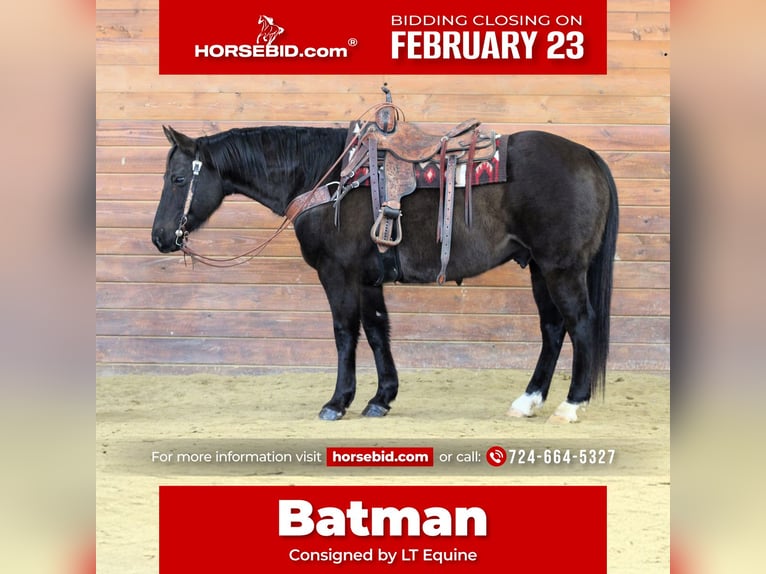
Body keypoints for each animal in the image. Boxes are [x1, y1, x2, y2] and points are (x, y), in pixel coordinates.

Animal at [152, 119, 618, 423]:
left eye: (178, 179)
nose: (160, 237)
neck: (329, 177)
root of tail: (587, 155)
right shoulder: (367, 279)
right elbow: (377, 331)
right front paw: (381, 397)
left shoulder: (337, 274)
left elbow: (345, 333)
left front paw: (338, 402)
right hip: (539, 268)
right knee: (553, 329)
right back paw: (528, 400)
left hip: (561, 268)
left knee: (580, 323)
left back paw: (571, 405)